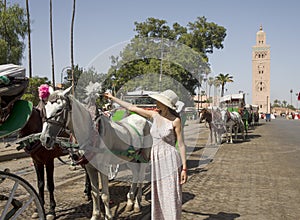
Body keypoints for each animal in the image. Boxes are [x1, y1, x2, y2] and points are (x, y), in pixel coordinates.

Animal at [39, 87, 152, 220]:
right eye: (45, 109)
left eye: (59, 109)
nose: (44, 139)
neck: (92, 134)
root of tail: (144, 119)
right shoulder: (90, 167)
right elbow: (94, 193)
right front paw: (95, 215)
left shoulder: (103, 167)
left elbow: (105, 195)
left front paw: (108, 216)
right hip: (130, 158)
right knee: (135, 175)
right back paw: (129, 202)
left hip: (143, 157)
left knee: (140, 177)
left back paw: (137, 204)